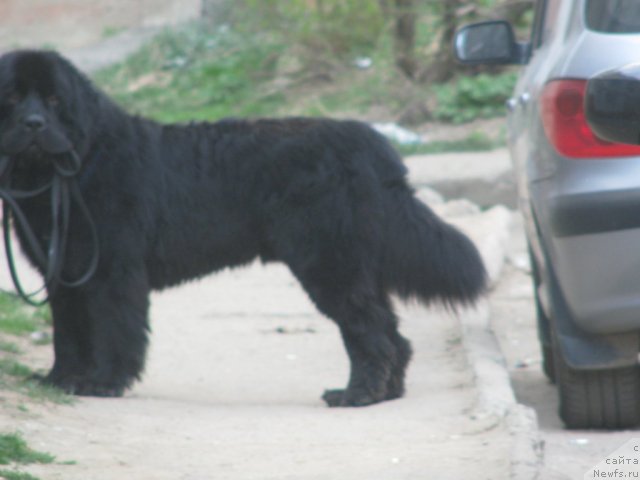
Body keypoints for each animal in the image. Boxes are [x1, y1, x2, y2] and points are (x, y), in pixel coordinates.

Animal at [0, 50, 484, 406]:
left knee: (369, 332)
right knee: (389, 331)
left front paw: (103, 382)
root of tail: (370, 145)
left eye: (55, 100)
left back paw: (357, 395)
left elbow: (112, 332)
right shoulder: (64, 275)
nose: (34, 125)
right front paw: (60, 379)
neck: (77, 163)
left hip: (330, 266)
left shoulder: (112, 274)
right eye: (14, 98)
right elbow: (68, 334)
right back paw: (387, 392)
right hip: (352, 268)